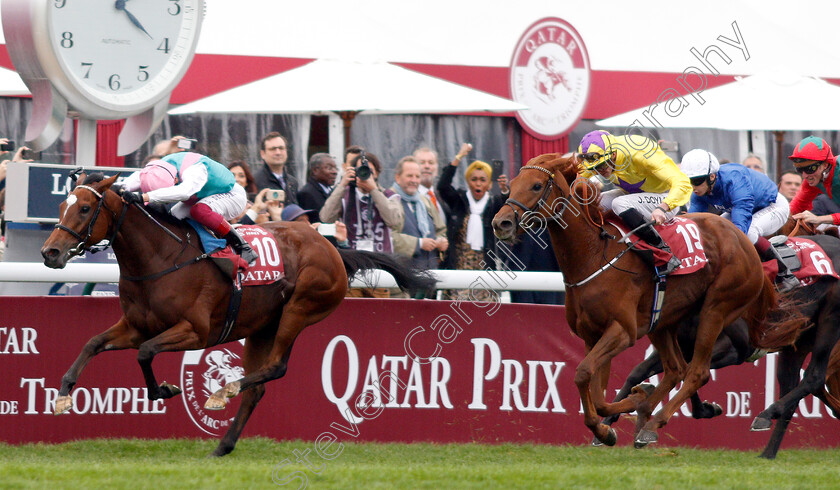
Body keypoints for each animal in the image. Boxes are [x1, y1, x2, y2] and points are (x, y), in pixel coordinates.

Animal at [39, 172, 434, 456]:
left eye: (85, 209)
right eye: (61, 206)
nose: (50, 253)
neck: (161, 256)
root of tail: (332, 246)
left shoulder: (195, 331)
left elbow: (146, 353)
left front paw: (164, 390)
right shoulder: (136, 325)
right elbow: (93, 343)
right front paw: (62, 396)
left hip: (300, 309)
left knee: (275, 367)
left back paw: (222, 393)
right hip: (262, 328)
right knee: (257, 386)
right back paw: (223, 445)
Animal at [488, 153, 796, 448]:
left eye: (537, 186)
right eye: (511, 184)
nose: (500, 223)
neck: (594, 256)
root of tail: (743, 240)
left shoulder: (622, 331)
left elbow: (583, 373)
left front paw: (627, 409)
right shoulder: (592, 335)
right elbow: (596, 392)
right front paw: (611, 424)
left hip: (716, 309)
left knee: (697, 371)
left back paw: (652, 424)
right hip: (663, 321)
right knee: (676, 368)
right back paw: (651, 410)